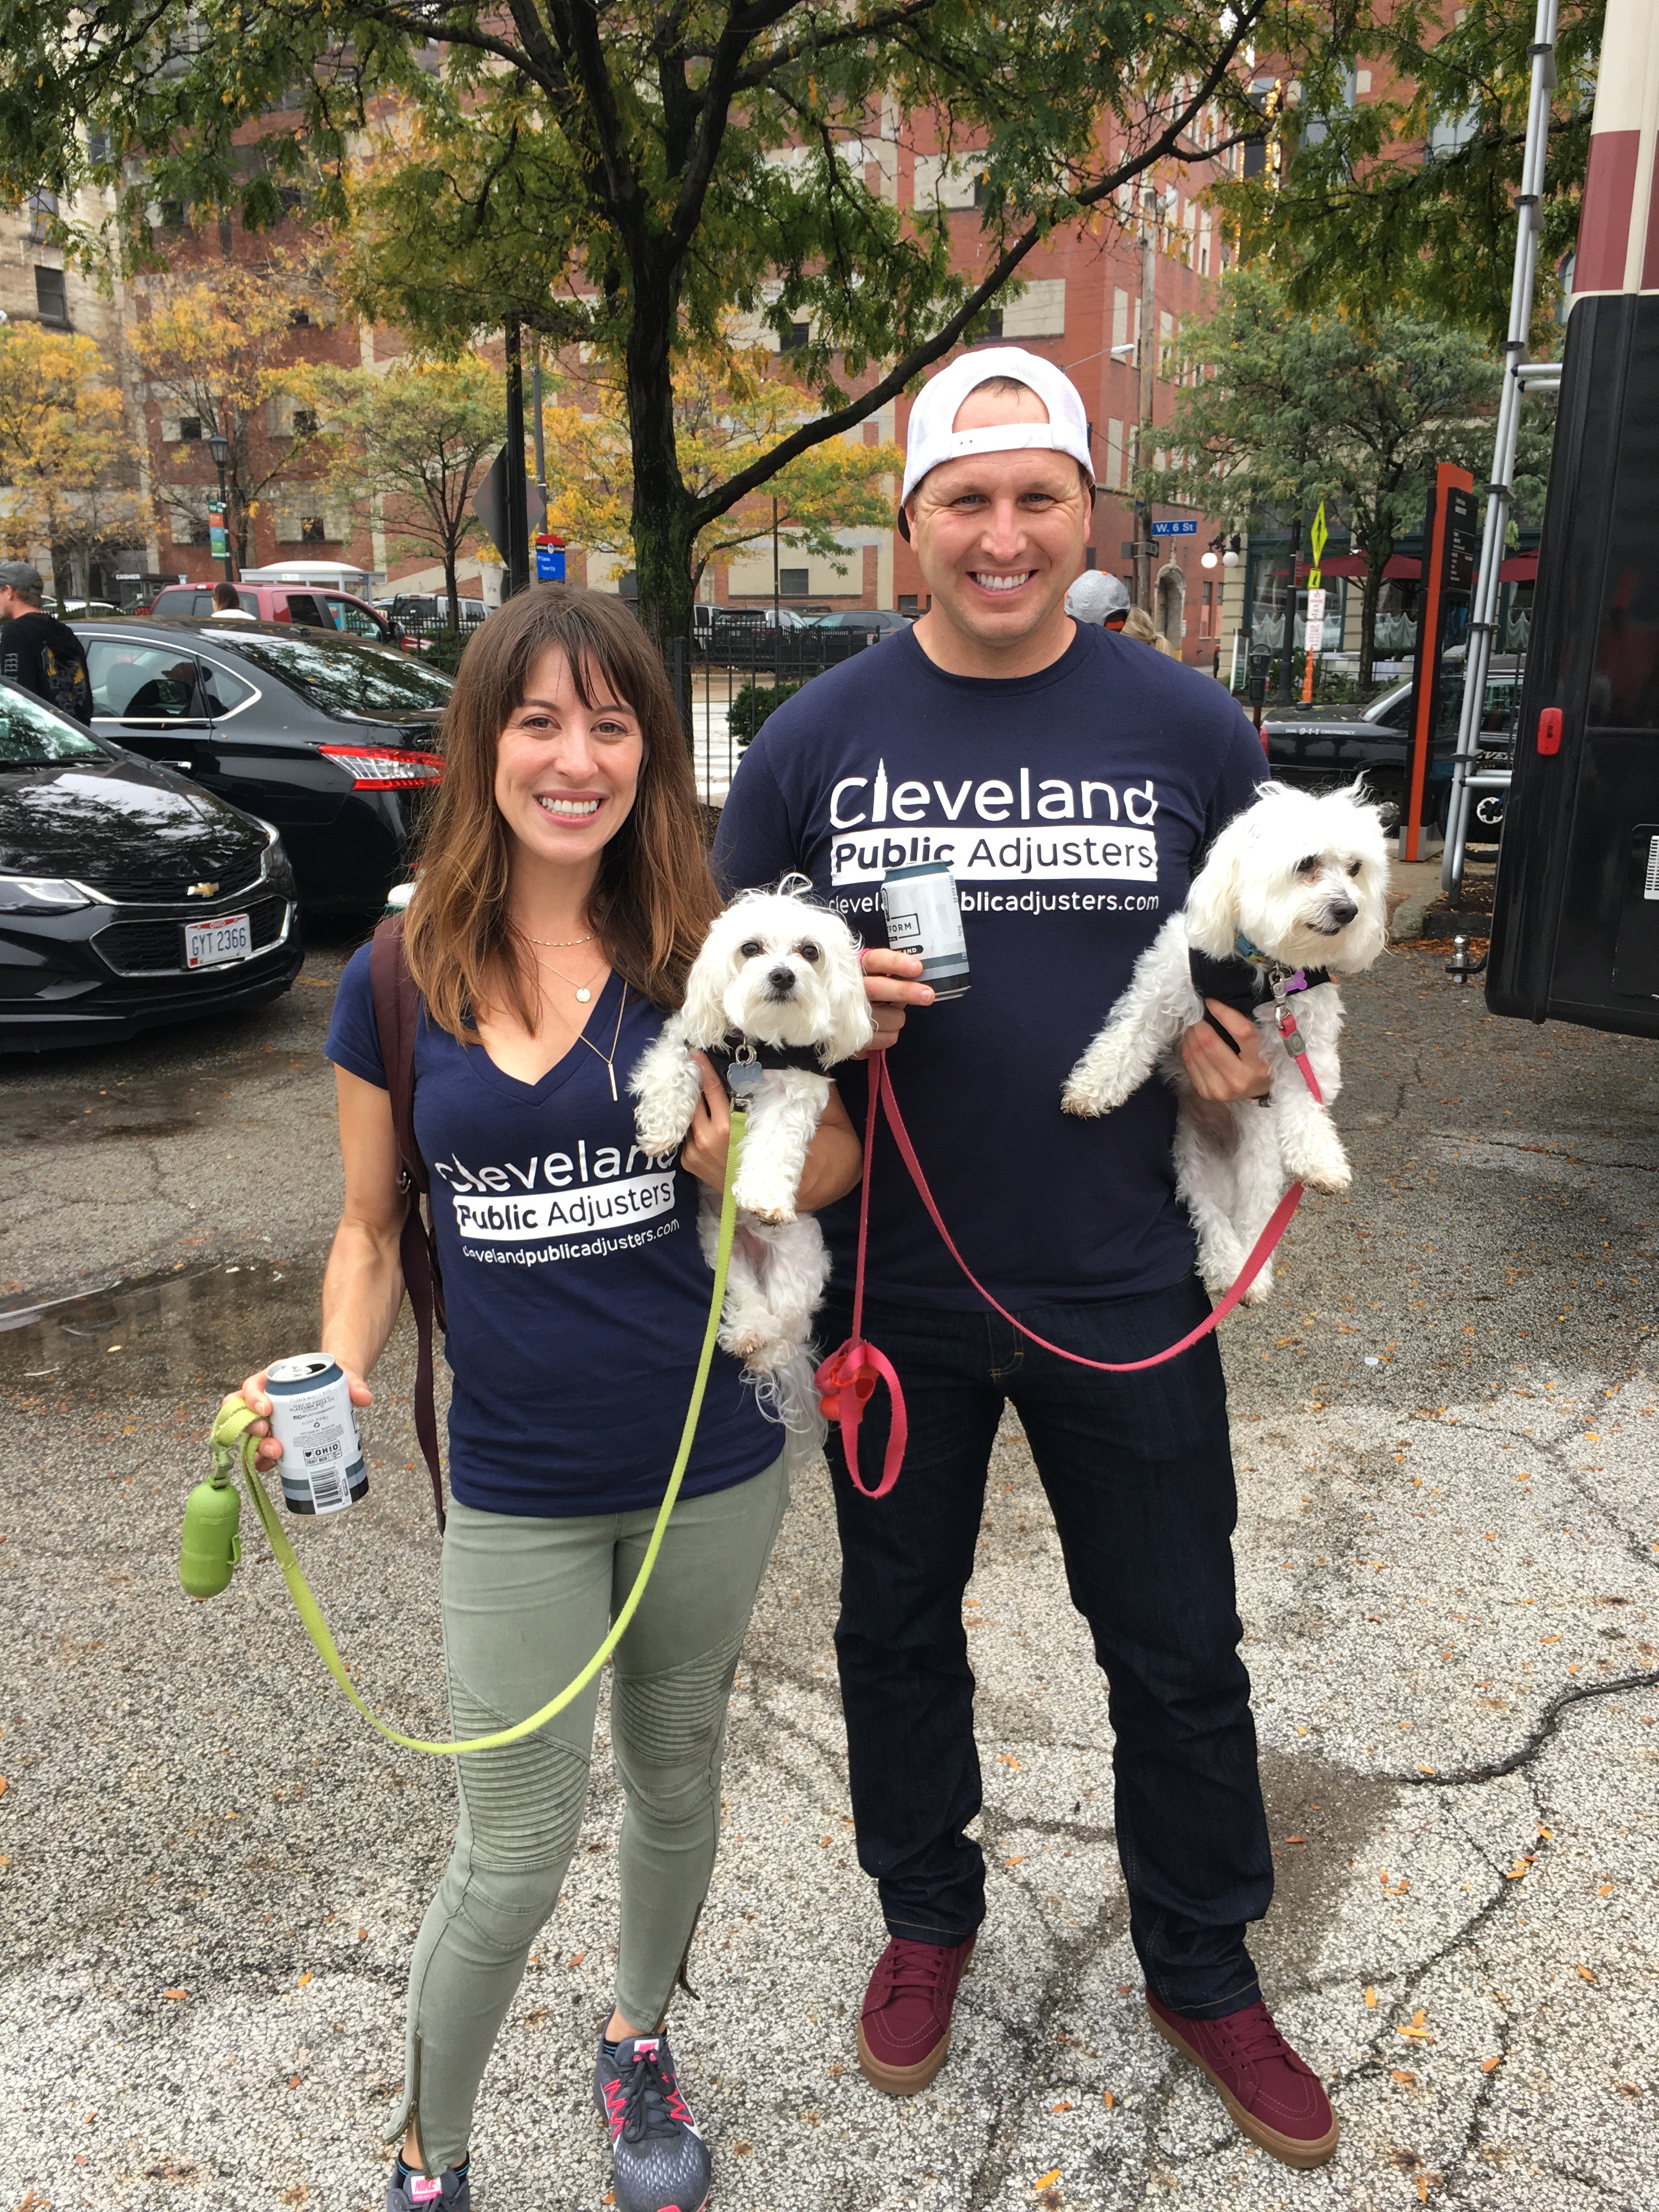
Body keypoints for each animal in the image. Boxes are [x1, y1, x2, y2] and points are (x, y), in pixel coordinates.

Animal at [629, 880, 873, 1421]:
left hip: (797, 1269)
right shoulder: (690, 1041)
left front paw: (764, 1198)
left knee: (787, 1330)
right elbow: (670, 1070)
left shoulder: (796, 1093)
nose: (783, 974)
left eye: (810, 952)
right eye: (751, 949)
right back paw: (747, 1332)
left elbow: (775, 1143)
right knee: (744, 1296)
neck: (755, 1050)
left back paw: (765, 1352)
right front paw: (662, 1129)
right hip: (720, 1250)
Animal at [1061, 781, 1390, 1303]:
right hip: (1191, 1160)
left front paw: (1321, 1158)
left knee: (1255, 1224)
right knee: (1210, 1215)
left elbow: (1307, 1100)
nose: (1349, 910)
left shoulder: (1305, 1042)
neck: (1262, 970)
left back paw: (1247, 1277)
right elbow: (1127, 1037)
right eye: (1307, 863)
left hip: (1259, 1162)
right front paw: (1092, 1088)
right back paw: (1224, 1265)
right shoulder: (1162, 990)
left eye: (1356, 868)